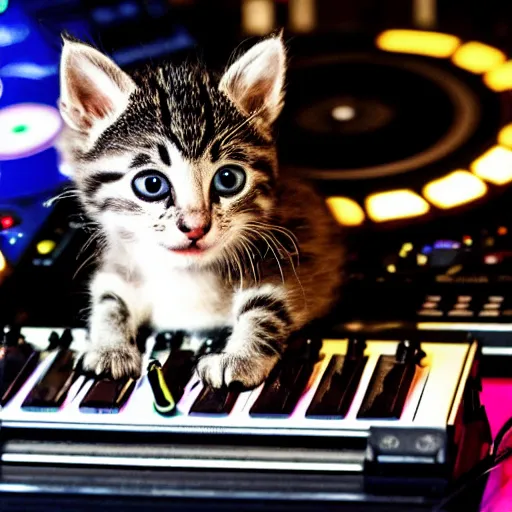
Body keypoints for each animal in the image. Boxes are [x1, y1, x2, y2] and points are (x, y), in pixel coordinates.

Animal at [57, 32, 344, 388]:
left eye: (228, 179)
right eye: (151, 184)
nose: (195, 226)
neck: (186, 276)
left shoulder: (301, 256)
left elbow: (267, 309)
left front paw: (239, 358)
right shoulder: (119, 261)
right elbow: (110, 300)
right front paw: (110, 348)